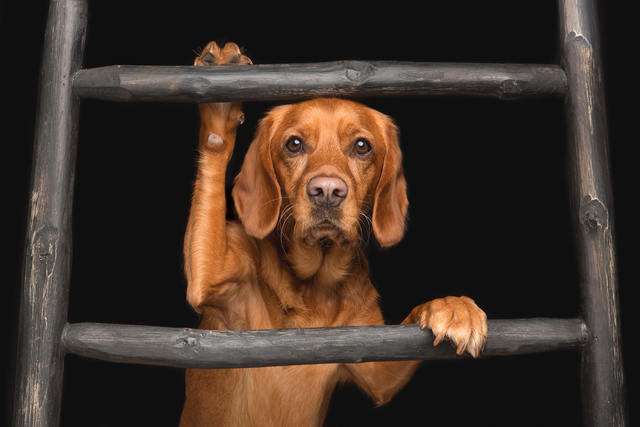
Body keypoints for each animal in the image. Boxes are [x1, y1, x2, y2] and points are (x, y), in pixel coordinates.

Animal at [178, 42, 488, 427]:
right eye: (294, 144)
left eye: (362, 146)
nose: (327, 191)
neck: (315, 285)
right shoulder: (216, 280)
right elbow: (215, 151)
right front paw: (220, 107)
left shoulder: (376, 367)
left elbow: (416, 314)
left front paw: (454, 307)